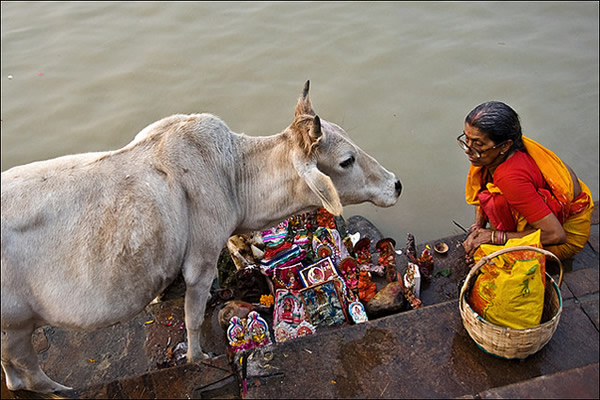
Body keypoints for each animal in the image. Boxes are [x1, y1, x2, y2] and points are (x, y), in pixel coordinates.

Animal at [2, 80, 404, 390]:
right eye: (346, 160)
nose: (396, 184)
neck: (234, 174)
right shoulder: (202, 259)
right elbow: (193, 319)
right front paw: (197, 358)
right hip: (17, 325)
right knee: (29, 372)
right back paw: (60, 389)